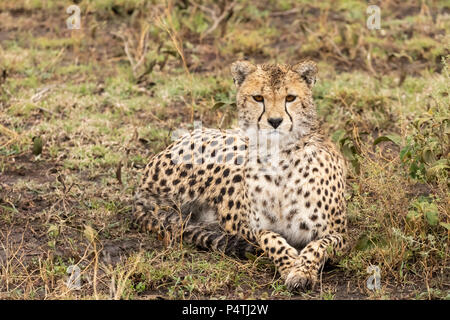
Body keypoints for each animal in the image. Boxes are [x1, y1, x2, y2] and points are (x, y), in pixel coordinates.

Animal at [134, 59, 348, 290]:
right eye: (258, 98)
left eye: (290, 98)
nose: (275, 121)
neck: (279, 156)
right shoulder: (243, 225)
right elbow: (268, 236)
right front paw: (289, 263)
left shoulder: (341, 235)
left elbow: (319, 245)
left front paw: (302, 271)